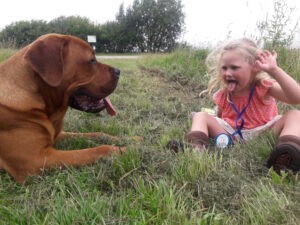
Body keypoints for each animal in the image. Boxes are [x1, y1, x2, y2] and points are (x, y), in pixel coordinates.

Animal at [0, 33, 124, 183]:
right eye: (92, 60)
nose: (119, 71)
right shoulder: (36, 160)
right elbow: (97, 150)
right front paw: (127, 148)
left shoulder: (57, 135)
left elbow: (96, 134)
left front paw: (128, 139)